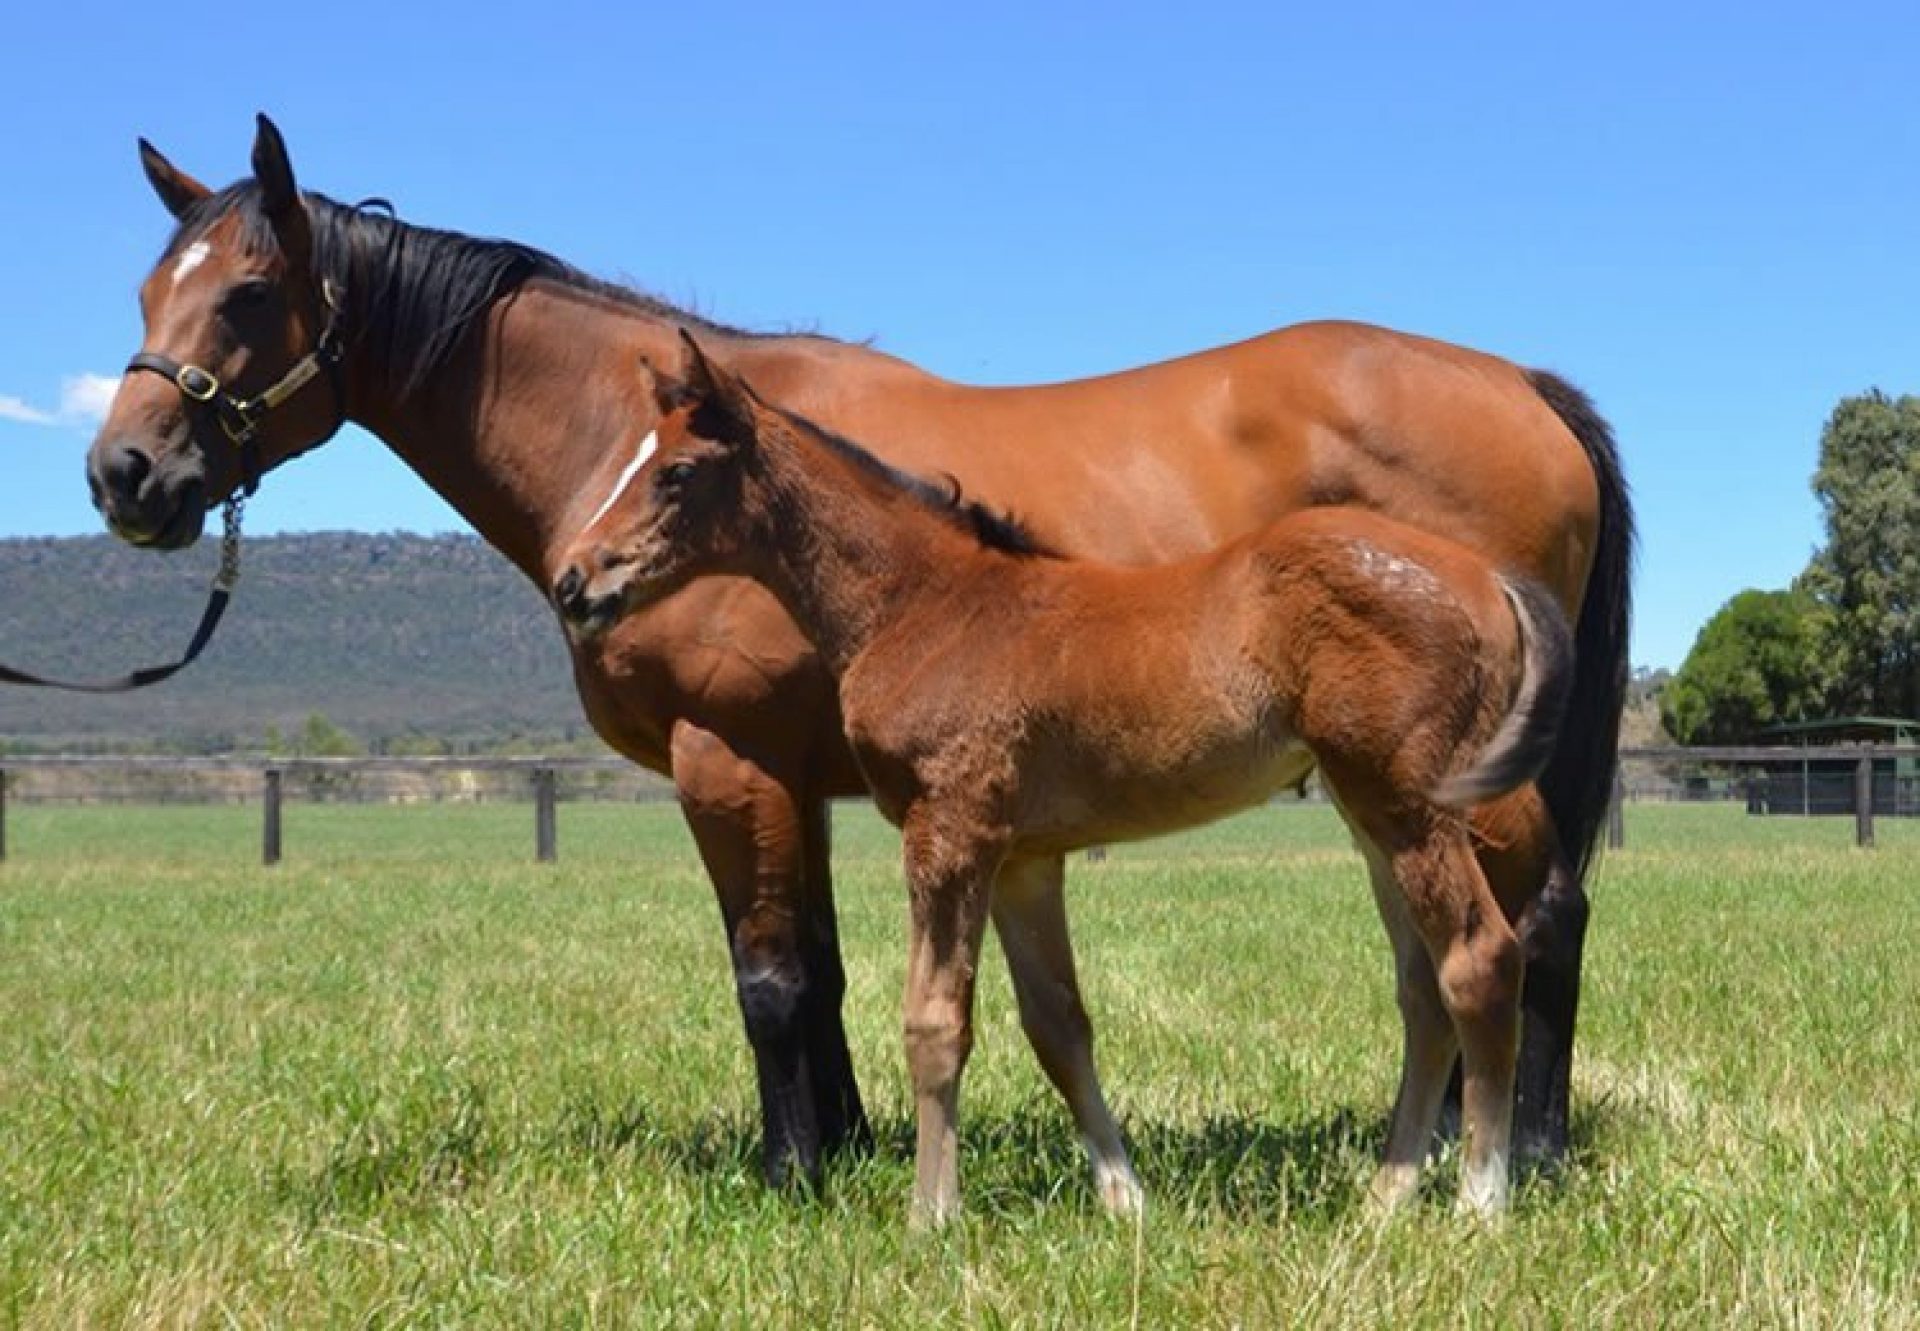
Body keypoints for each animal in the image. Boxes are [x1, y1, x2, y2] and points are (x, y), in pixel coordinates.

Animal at [553, 337, 1575, 1220]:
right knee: (1422, 992)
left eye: (676, 472)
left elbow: (935, 1023)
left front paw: (931, 1215)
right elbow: (1058, 1023)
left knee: (1479, 959)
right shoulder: (1022, 858)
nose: (575, 579)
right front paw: (1125, 1199)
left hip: (1412, 805)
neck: (927, 603)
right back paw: (1386, 1195)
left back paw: (1480, 1200)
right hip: (1370, 812)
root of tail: (1486, 579)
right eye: (632, 457)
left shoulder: (949, 834)